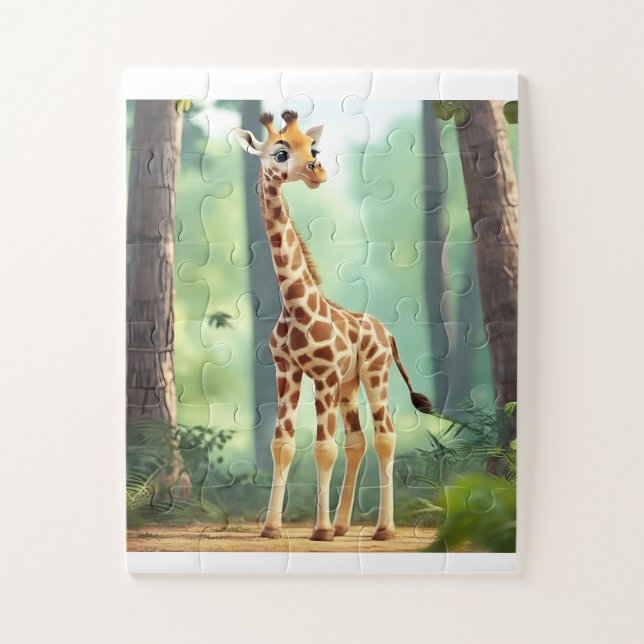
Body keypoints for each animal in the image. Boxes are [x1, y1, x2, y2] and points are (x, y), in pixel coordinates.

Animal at [233, 110, 433, 541]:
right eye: (279, 152)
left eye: (314, 149)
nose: (318, 172)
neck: (295, 305)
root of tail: (389, 333)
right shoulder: (288, 372)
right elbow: (283, 444)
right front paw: (272, 528)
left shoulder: (322, 375)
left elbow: (323, 448)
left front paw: (319, 530)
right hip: (349, 382)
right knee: (357, 439)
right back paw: (344, 525)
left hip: (374, 373)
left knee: (385, 435)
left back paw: (383, 529)